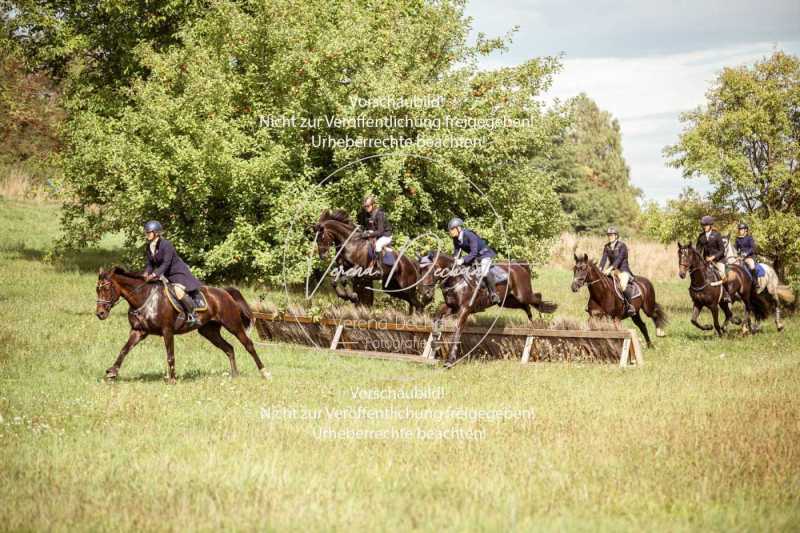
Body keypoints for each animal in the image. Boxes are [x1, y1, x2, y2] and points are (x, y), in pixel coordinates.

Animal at [94, 266, 268, 382]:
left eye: (107, 288)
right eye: (97, 289)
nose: (100, 314)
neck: (144, 298)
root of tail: (225, 292)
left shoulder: (167, 331)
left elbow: (170, 356)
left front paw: (172, 379)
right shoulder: (138, 331)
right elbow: (124, 350)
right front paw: (112, 372)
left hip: (233, 325)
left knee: (248, 345)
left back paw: (264, 372)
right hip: (209, 331)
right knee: (229, 348)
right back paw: (235, 375)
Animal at [418, 249, 556, 366]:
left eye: (432, 269)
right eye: (420, 271)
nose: (426, 293)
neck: (456, 278)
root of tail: (519, 266)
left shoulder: (464, 310)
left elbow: (457, 330)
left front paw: (450, 361)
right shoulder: (451, 307)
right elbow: (436, 317)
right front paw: (434, 342)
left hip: (523, 294)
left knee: (537, 298)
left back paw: (544, 317)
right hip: (507, 301)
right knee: (526, 306)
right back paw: (531, 322)